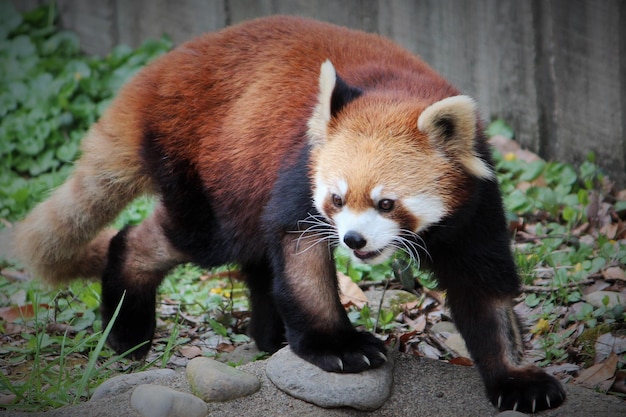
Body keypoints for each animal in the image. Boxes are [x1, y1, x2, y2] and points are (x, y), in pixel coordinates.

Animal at [14, 15, 564, 410]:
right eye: (338, 199)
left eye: (386, 203)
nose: (354, 241)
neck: (395, 89)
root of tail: (156, 74)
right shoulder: (300, 170)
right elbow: (299, 253)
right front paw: (337, 344)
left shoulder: (474, 206)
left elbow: (483, 286)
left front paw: (517, 378)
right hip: (207, 170)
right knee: (185, 239)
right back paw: (128, 325)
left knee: (254, 258)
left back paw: (269, 333)